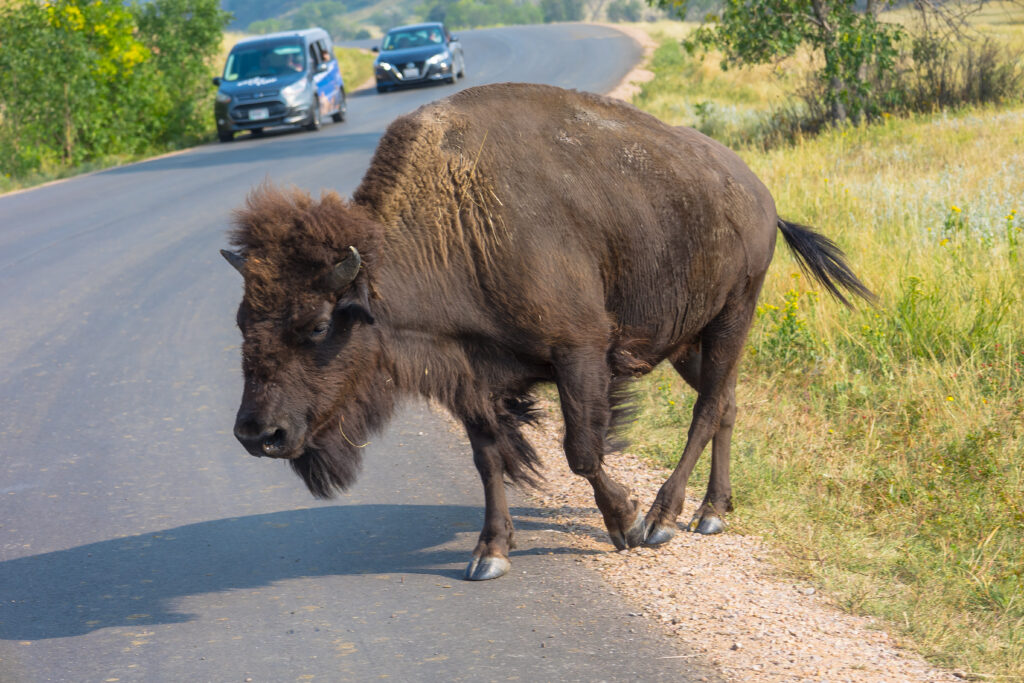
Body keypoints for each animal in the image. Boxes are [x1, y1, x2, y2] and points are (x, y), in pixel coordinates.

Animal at [222, 82, 872, 581]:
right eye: (241, 320)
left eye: (318, 323)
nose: (257, 433)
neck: (458, 221)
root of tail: (758, 193)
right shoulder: (473, 375)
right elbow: (488, 458)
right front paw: (489, 554)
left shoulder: (579, 352)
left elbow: (581, 449)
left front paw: (625, 521)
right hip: (691, 342)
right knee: (728, 403)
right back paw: (713, 510)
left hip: (734, 314)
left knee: (708, 409)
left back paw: (665, 518)